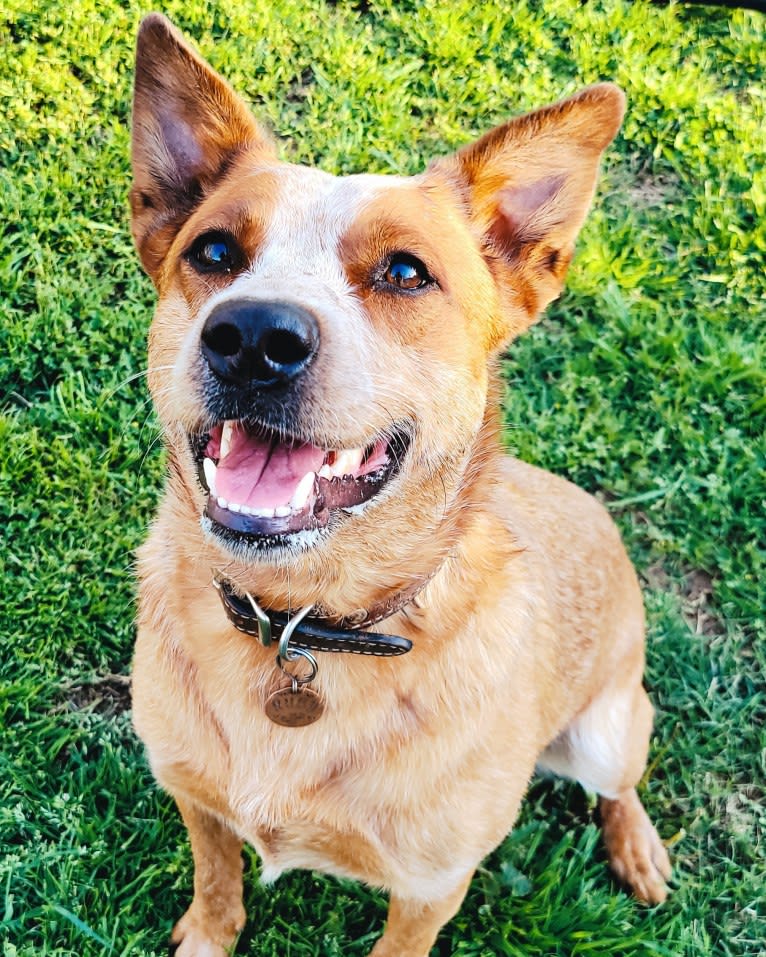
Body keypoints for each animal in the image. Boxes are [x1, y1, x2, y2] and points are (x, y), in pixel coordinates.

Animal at [130, 11, 672, 952]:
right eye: (215, 250)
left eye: (405, 272)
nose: (252, 337)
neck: (301, 624)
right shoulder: (193, 792)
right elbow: (217, 877)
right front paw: (207, 932)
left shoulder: (429, 884)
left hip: (607, 731)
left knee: (623, 778)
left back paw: (637, 845)